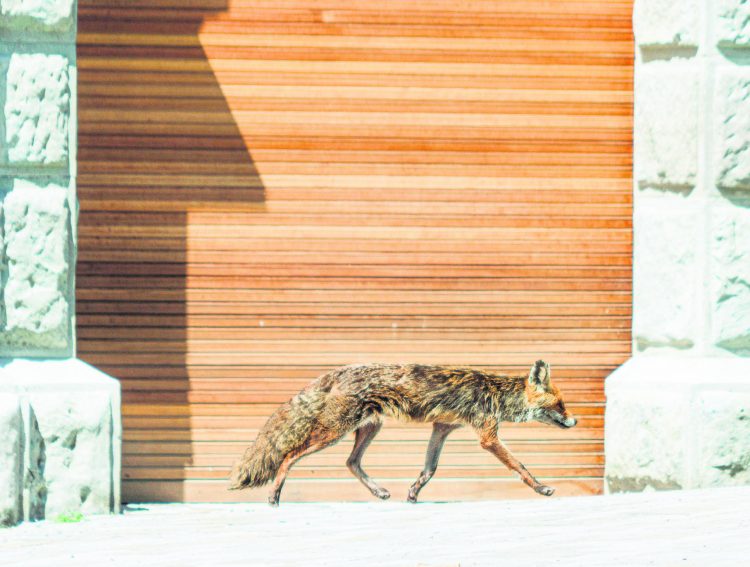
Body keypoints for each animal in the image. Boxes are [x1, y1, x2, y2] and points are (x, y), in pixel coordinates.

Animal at [229, 360, 580, 506]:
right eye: (561, 404)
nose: (575, 421)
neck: (495, 393)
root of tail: (340, 370)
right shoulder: (488, 437)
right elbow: (521, 467)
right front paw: (542, 489)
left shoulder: (443, 427)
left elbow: (429, 470)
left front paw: (412, 494)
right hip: (334, 431)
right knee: (289, 456)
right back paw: (274, 496)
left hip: (370, 427)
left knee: (351, 463)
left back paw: (380, 492)